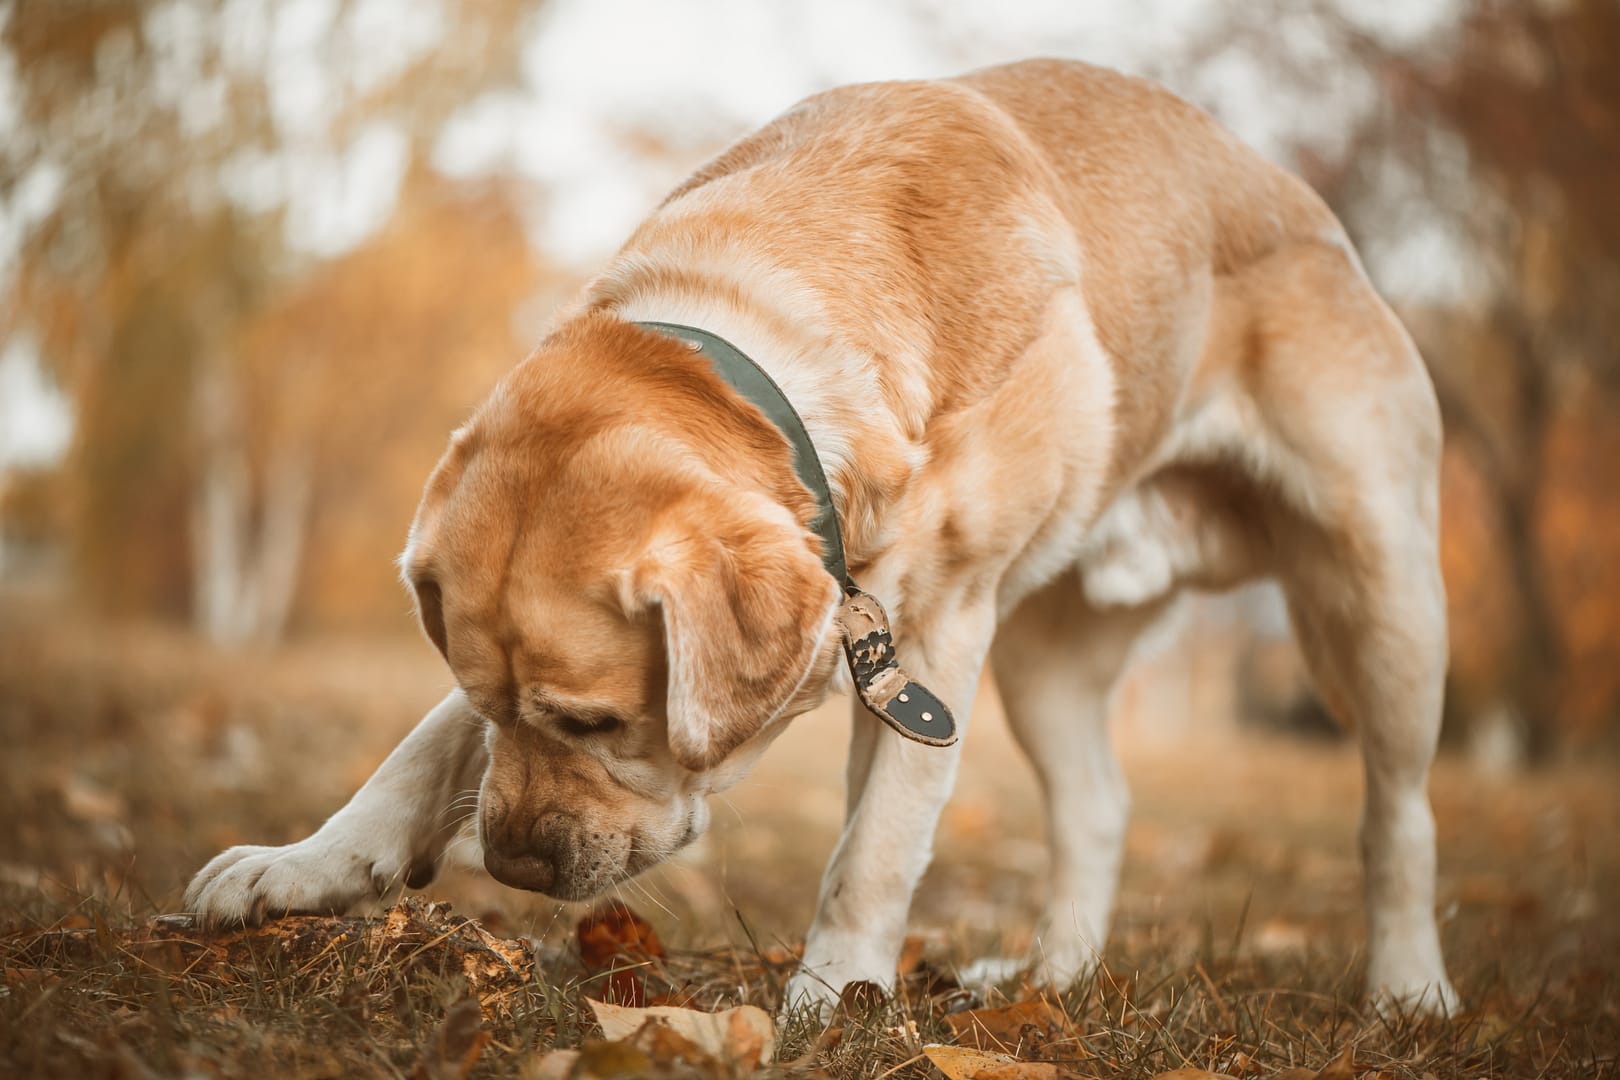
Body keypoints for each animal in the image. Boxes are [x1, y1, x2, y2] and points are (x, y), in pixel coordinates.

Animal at [183, 59, 1464, 1016]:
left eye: (597, 723)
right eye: (494, 703)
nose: (513, 870)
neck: (769, 333)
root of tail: (1314, 215)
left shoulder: (934, 639)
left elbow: (873, 850)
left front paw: (833, 994)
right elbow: (414, 758)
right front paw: (302, 865)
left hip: (1379, 598)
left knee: (1398, 819)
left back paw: (1410, 989)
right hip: (1049, 661)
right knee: (1098, 807)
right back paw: (1047, 981)